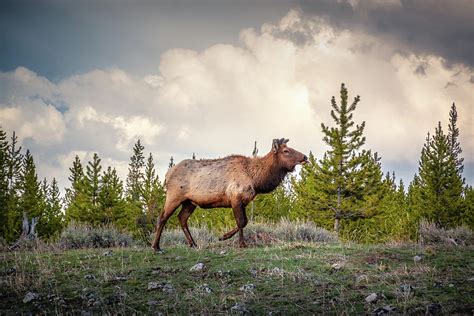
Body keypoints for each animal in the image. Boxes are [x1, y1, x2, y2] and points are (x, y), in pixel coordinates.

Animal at [152, 137, 308, 251]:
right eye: (286, 150)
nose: (305, 157)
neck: (256, 180)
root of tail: (167, 174)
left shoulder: (244, 201)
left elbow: (244, 222)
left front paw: (226, 238)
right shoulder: (235, 196)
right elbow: (241, 221)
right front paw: (235, 241)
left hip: (190, 202)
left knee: (182, 218)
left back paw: (193, 244)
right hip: (174, 196)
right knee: (162, 217)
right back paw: (156, 246)